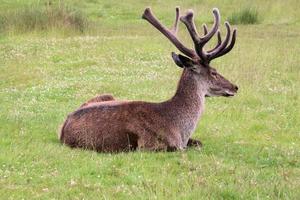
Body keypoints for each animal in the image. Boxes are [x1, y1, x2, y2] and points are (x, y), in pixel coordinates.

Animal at [58, 7, 238, 152]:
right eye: (214, 72)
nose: (235, 87)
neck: (179, 129)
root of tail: (63, 127)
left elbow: (199, 142)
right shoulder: (150, 144)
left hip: (106, 95)